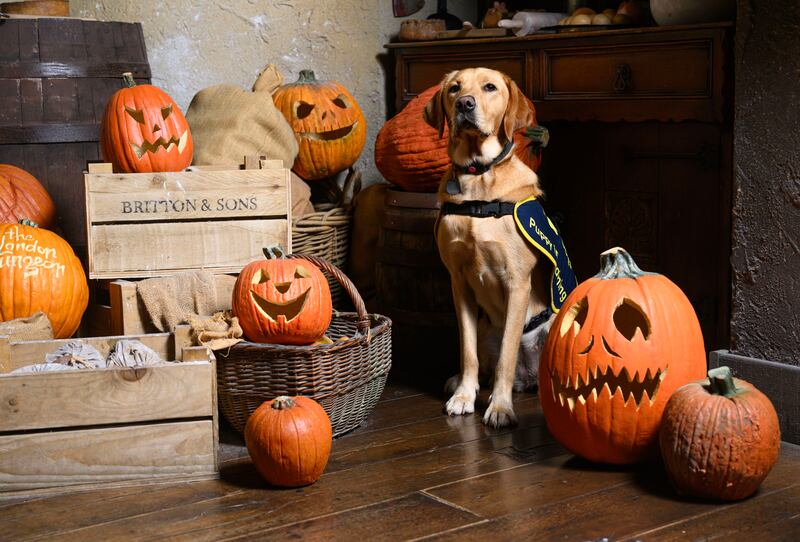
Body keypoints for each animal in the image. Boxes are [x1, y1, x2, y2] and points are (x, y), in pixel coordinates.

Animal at [428, 68, 552, 430]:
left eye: (490, 87)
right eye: (454, 89)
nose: (465, 104)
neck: (478, 178)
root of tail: (528, 378)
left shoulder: (517, 282)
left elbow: (506, 358)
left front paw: (500, 407)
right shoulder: (459, 282)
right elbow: (467, 351)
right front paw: (464, 396)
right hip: (486, 330)